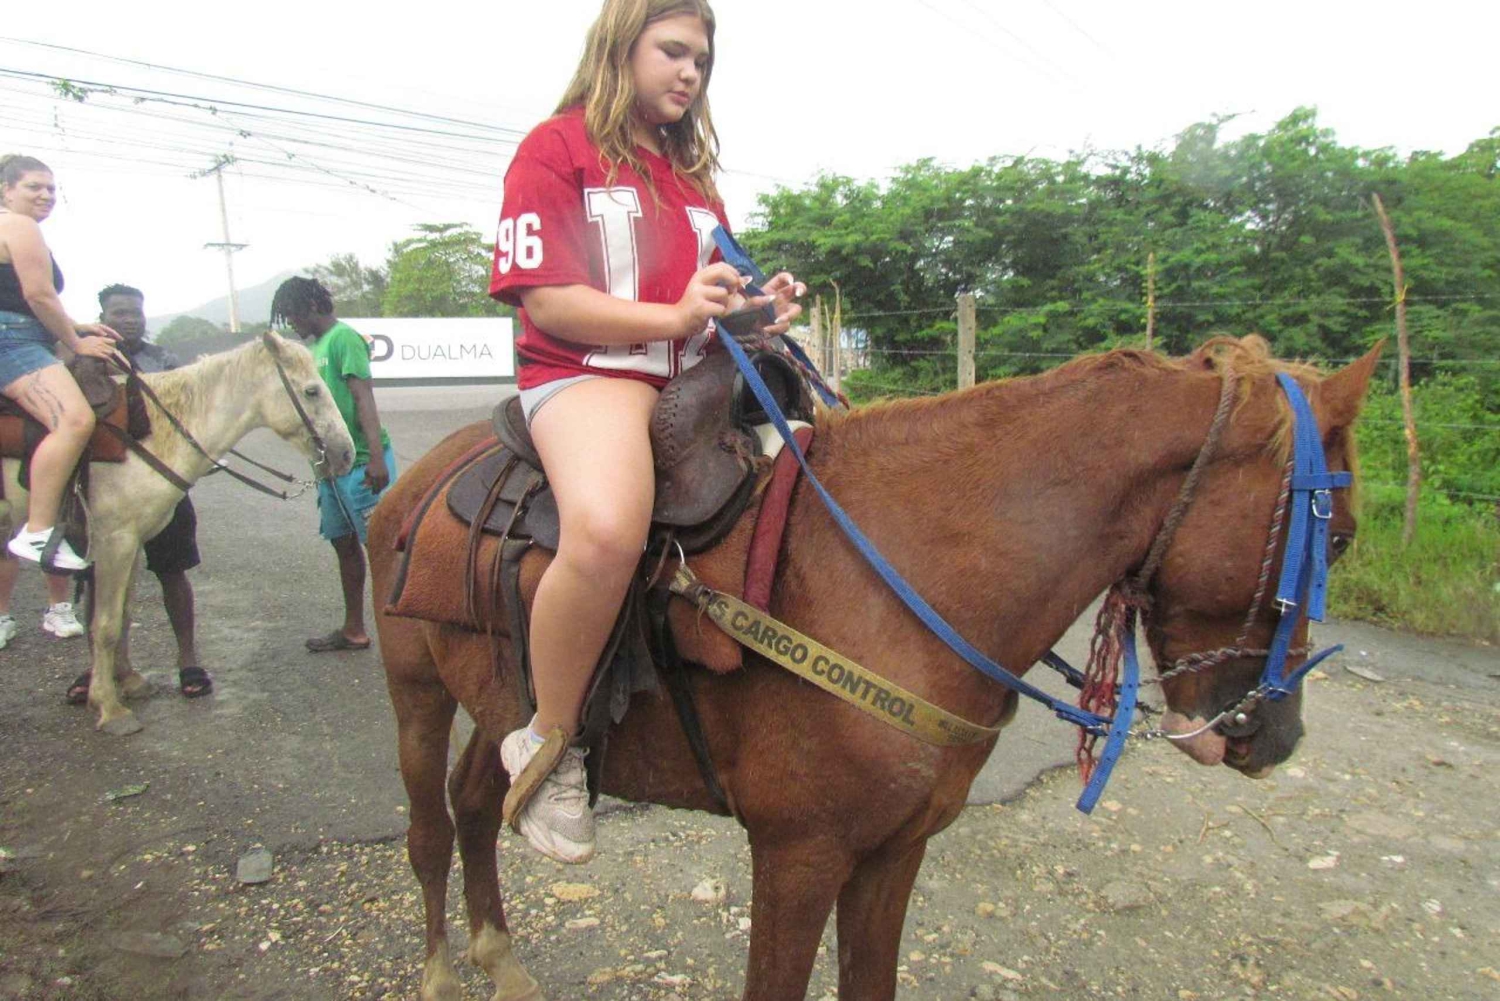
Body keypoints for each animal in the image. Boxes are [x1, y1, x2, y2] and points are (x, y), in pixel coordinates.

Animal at [0, 332, 355, 735]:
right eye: (312, 391)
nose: (346, 454)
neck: (153, 431)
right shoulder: (114, 541)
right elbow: (105, 624)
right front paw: (109, 707)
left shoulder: (133, 541)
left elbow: (123, 615)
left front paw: (129, 682)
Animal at [369, 334, 1381, 1001]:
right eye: (1339, 536)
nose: (1274, 736)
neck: (890, 578)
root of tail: (419, 475)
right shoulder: (798, 854)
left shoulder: (896, 850)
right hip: (415, 692)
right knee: (427, 828)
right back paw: (441, 973)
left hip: (504, 706)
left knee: (479, 798)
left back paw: (500, 956)